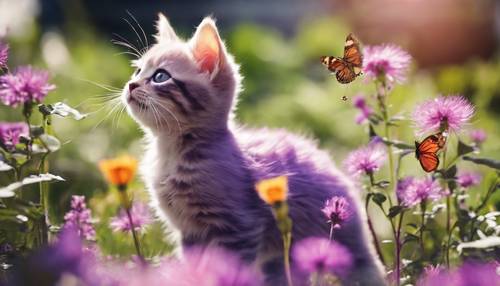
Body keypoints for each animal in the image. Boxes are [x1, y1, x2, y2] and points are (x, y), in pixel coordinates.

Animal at [122, 13, 386, 286]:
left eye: (160, 76)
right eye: (138, 70)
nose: (131, 85)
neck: (171, 152)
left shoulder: (239, 227)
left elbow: (227, 270)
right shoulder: (191, 233)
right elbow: (197, 268)